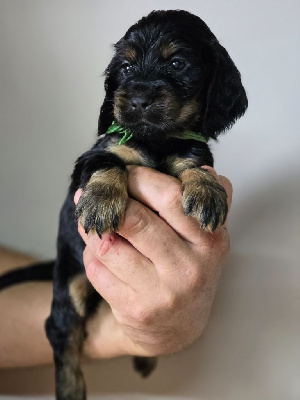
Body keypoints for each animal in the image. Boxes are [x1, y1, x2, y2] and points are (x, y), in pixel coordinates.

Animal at [44, 10, 246, 400]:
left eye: (178, 63)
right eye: (124, 67)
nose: (137, 100)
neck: (156, 140)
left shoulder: (191, 150)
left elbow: (195, 165)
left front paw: (207, 192)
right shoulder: (97, 153)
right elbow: (110, 162)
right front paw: (101, 202)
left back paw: (145, 358)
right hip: (71, 282)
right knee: (61, 329)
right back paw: (70, 386)